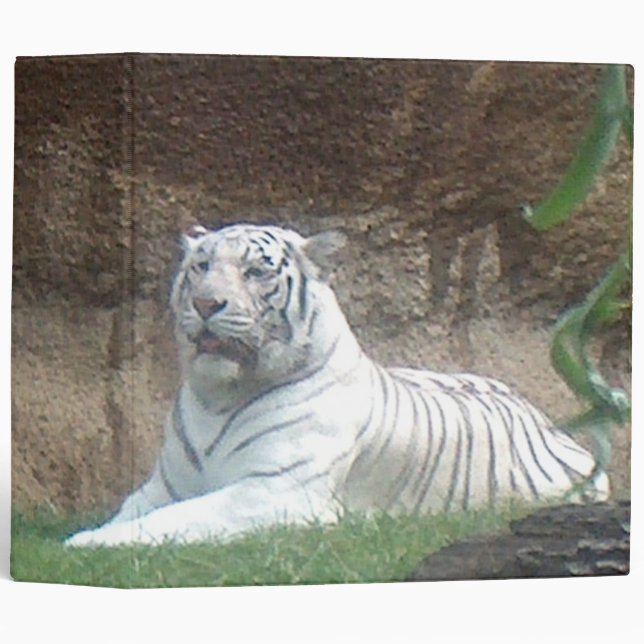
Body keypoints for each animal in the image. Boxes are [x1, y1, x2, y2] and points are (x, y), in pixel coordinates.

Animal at [65, 223, 609, 547]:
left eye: (255, 270)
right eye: (201, 266)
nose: (205, 303)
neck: (215, 397)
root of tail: (548, 419)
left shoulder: (273, 491)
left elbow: (175, 521)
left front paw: (84, 544)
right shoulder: (162, 487)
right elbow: (130, 512)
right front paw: (90, 533)